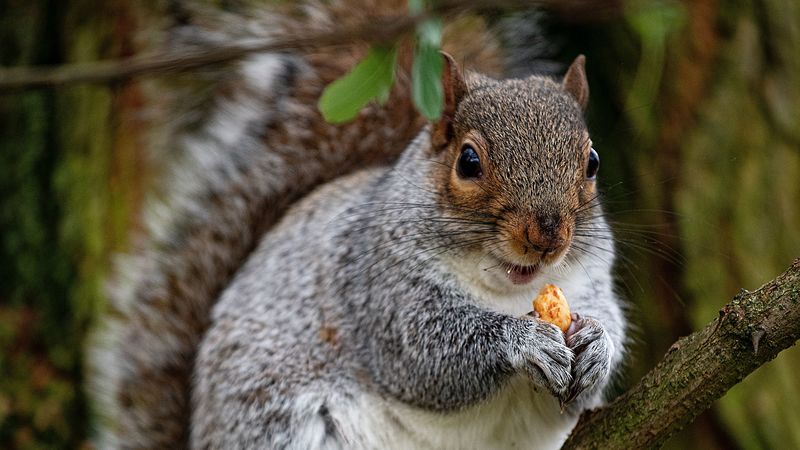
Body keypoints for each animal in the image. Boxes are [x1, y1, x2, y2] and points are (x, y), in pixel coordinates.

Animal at [89, 1, 626, 449]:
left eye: (592, 162)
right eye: (469, 161)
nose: (546, 236)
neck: (510, 291)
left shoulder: (590, 281)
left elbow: (602, 345)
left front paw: (597, 344)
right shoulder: (375, 287)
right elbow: (427, 352)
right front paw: (523, 341)